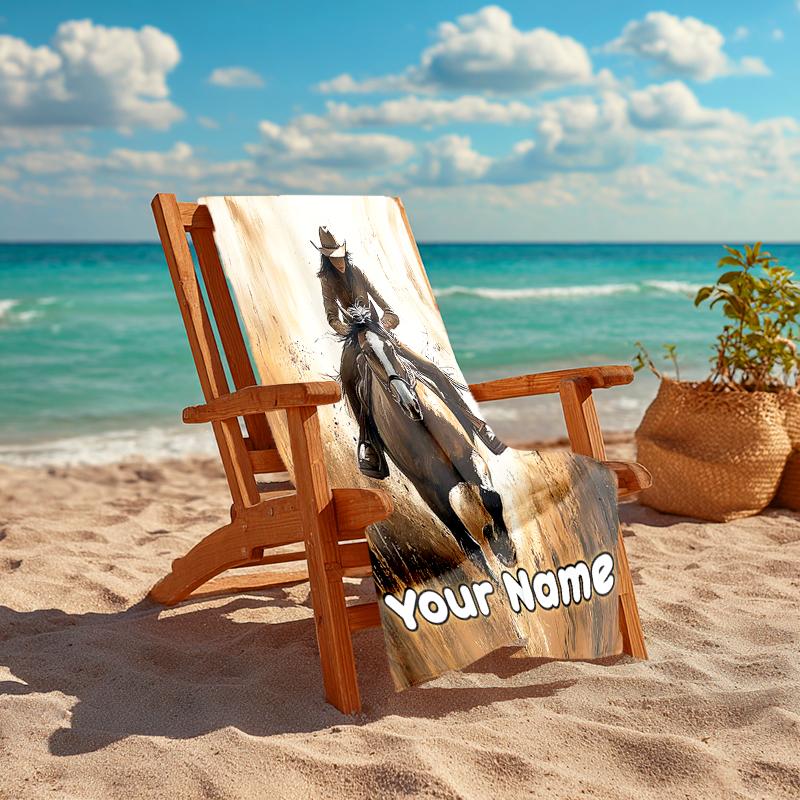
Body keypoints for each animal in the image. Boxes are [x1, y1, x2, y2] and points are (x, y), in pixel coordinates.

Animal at [340, 303, 516, 573]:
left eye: (390, 346)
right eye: (367, 355)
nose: (409, 403)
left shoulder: (469, 457)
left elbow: (491, 497)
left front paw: (505, 548)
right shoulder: (428, 489)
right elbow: (468, 544)